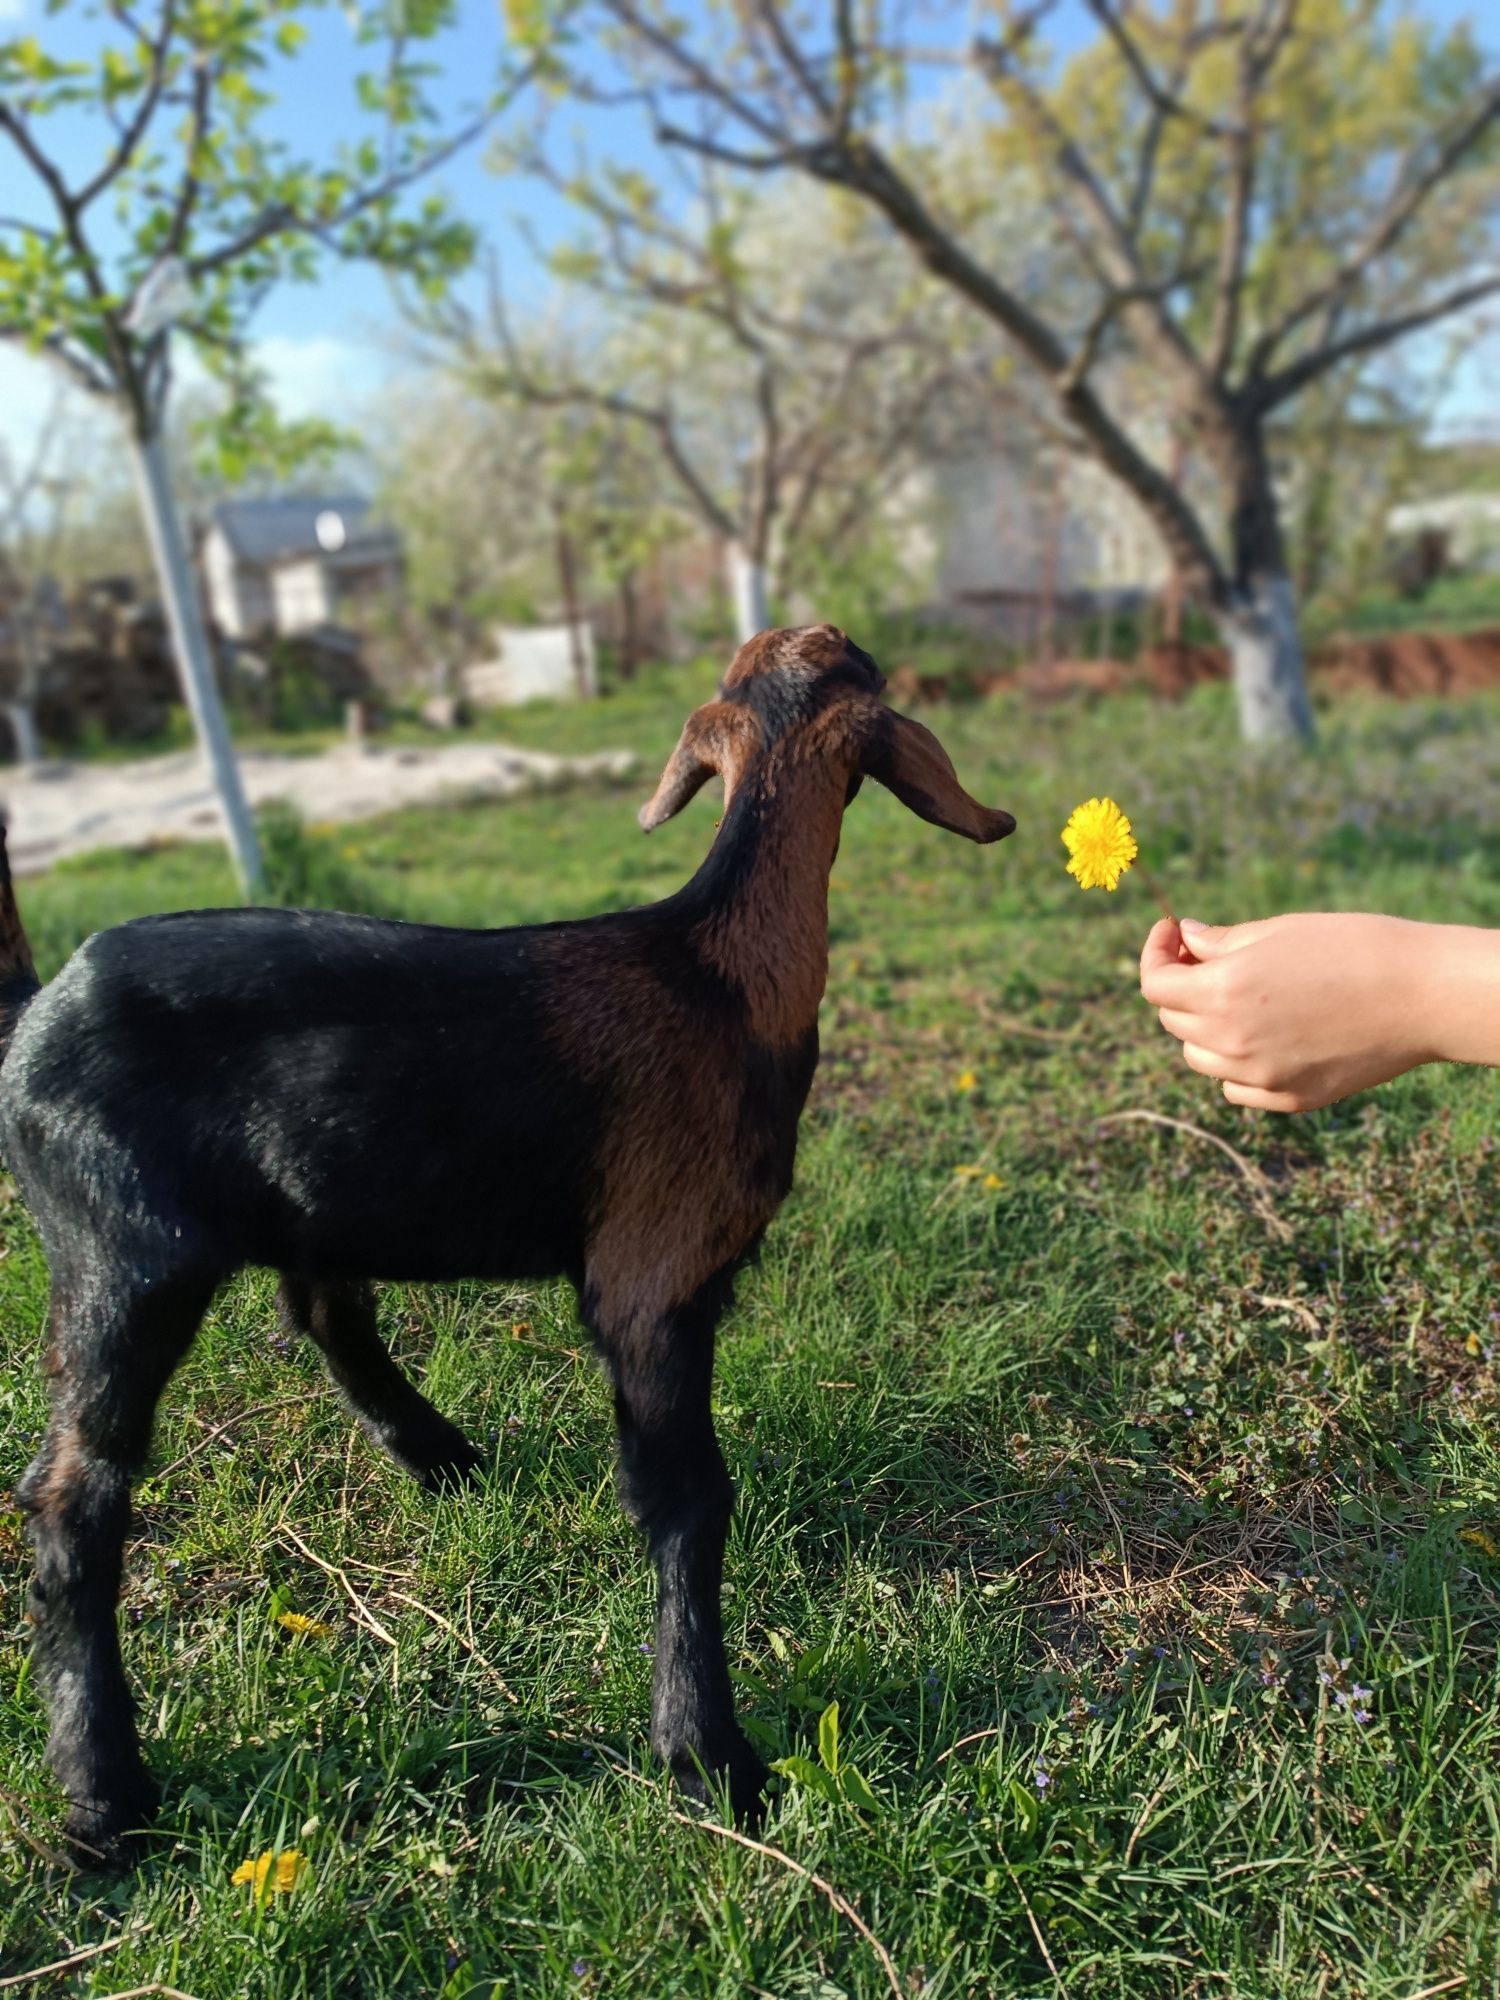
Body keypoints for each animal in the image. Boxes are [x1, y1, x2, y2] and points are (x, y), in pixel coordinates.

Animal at [2, 624, 1024, 1856]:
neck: (718, 973)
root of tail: (30, 1013)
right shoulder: (652, 1272)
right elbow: (686, 1499)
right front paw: (706, 1750)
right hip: (122, 1252)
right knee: (76, 1492)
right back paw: (105, 1795)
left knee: (323, 1310)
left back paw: (442, 1458)